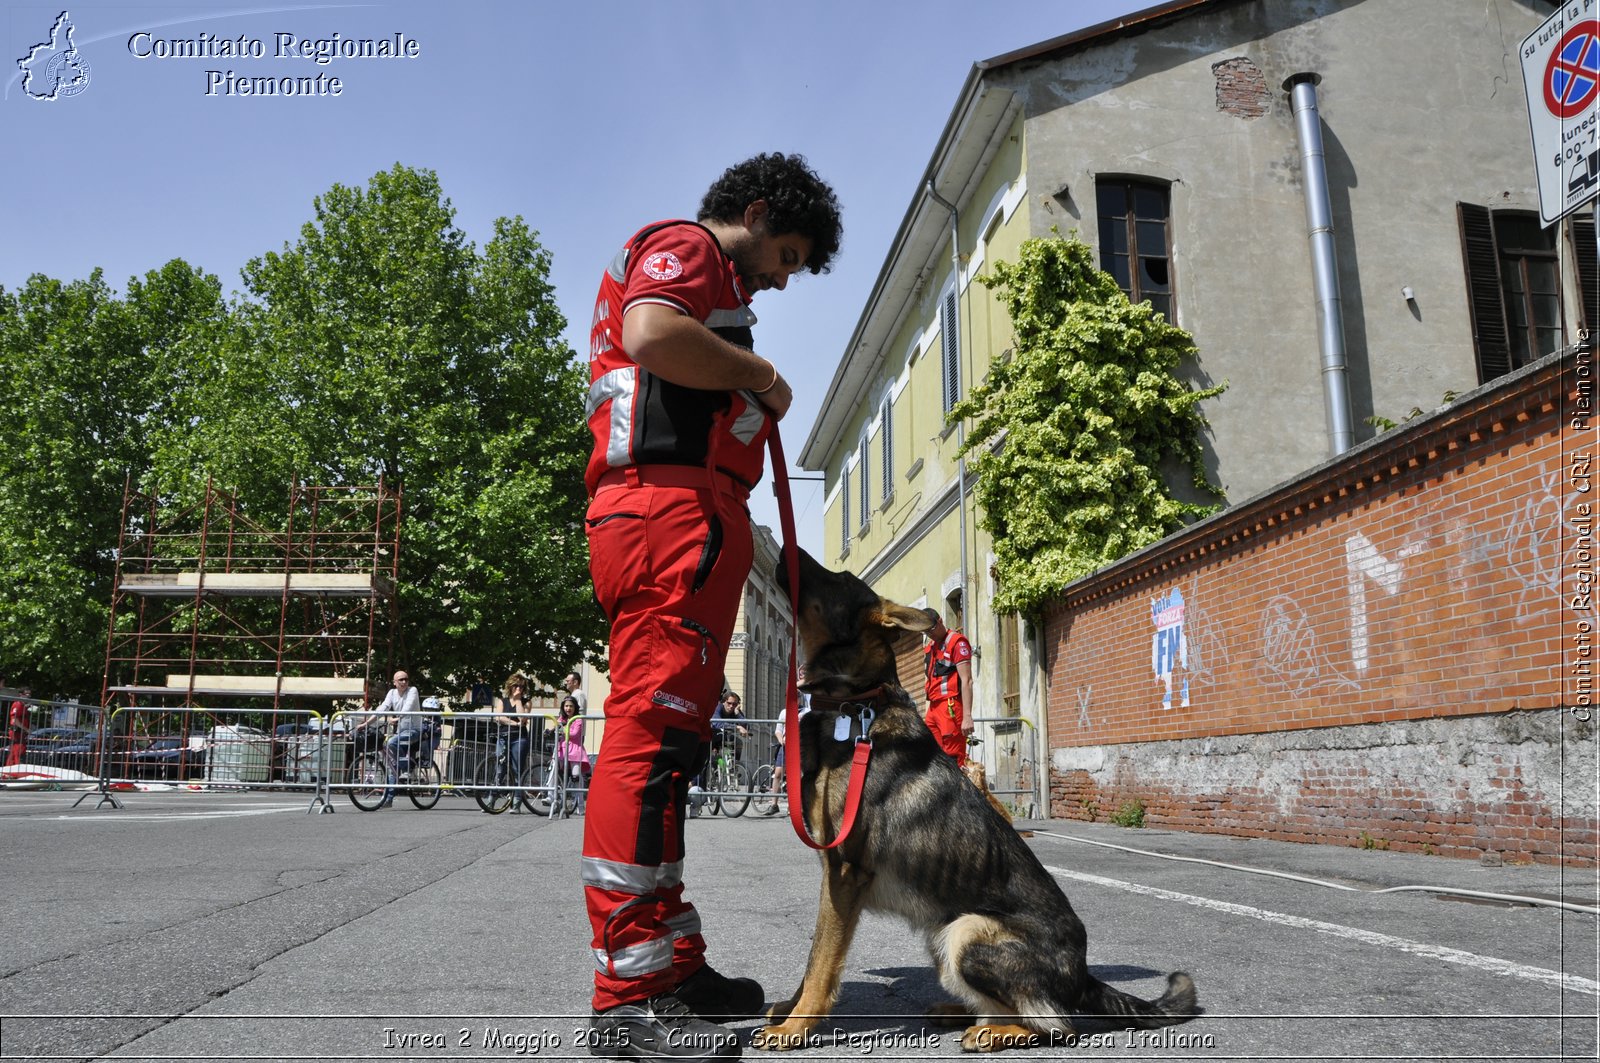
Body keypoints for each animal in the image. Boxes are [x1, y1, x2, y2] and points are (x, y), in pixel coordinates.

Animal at [755, 550, 1196, 1050]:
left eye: (840, 578)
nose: (782, 552)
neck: (855, 705)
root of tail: (1082, 975)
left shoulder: (845, 872)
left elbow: (820, 962)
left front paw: (795, 1028)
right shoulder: (837, 877)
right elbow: (814, 957)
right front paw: (789, 1012)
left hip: (963, 930)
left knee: (1056, 1024)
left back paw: (991, 1031)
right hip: (942, 932)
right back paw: (961, 1013)